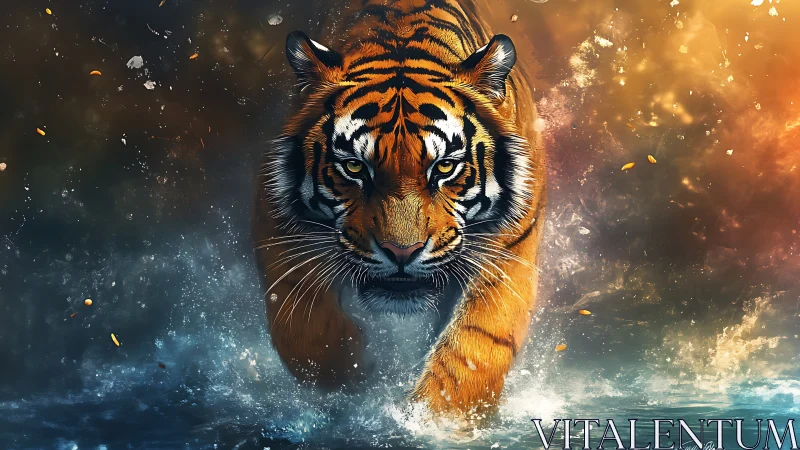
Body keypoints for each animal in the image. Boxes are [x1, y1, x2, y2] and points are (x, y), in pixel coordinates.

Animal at [252, 0, 546, 417]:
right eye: (355, 167)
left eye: (444, 167)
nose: (401, 253)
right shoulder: (276, 220)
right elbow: (301, 322)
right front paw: (350, 371)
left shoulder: (509, 250)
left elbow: (476, 345)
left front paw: (434, 418)